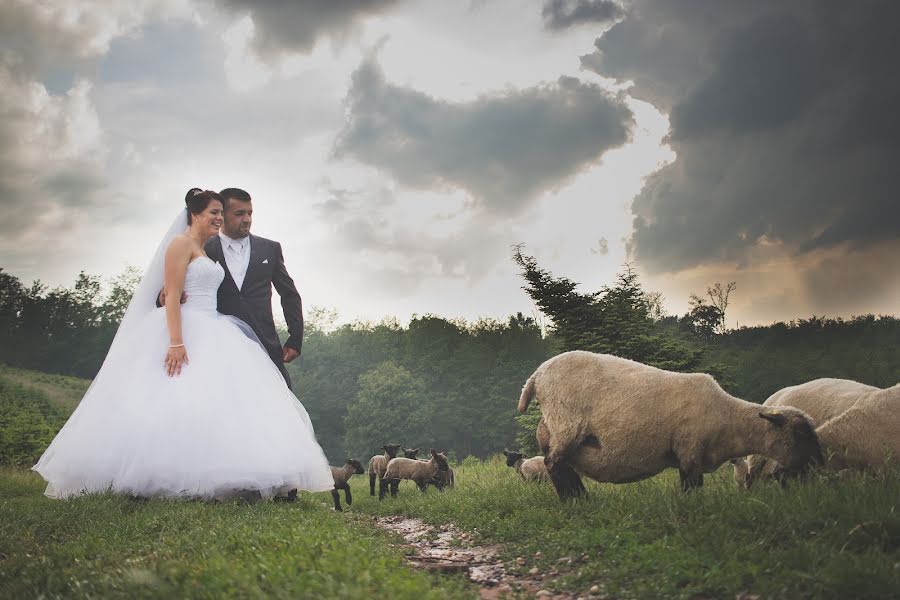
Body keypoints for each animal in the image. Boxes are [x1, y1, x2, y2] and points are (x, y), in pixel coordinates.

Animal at [520, 352, 824, 502]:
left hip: (555, 428)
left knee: (563, 464)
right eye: (801, 433)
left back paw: (581, 498)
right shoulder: (690, 449)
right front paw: (693, 508)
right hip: (566, 421)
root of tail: (535, 376)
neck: (728, 420)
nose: (820, 463)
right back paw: (576, 503)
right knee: (554, 463)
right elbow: (692, 485)